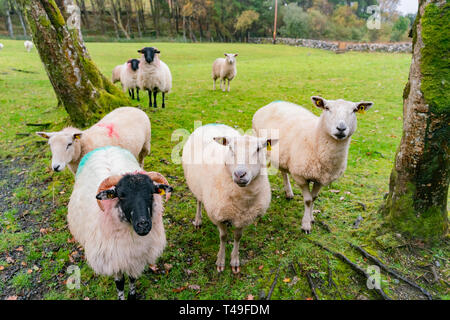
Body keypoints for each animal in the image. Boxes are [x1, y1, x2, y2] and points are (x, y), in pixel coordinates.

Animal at [67, 146, 173, 298]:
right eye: (121, 196)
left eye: (151, 193)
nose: (143, 224)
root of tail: (104, 147)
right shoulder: (114, 260)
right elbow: (120, 284)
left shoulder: (135, 259)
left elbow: (132, 279)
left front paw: (132, 295)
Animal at [181, 124, 276, 274]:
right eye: (230, 148)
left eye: (258, 149)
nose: (239, 174)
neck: (242, 201)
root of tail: (212, 124)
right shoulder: (217, 215)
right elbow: (223, 237)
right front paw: (220, 261)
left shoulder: (243, 218)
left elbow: (238, 237)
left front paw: (235, 261)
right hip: (197, 186)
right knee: (199, 201)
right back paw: (198, 220)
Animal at [253, 96, 372, 234]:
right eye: (327, 108)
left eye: (354, 110)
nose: (341, 128)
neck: (314, 138)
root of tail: (273, 103)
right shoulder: (300, 176)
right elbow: (308, 200)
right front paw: (306, 225)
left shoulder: (321, 179)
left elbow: (314, 197)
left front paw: (311, 218)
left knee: (283, 171)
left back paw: (289, 192)